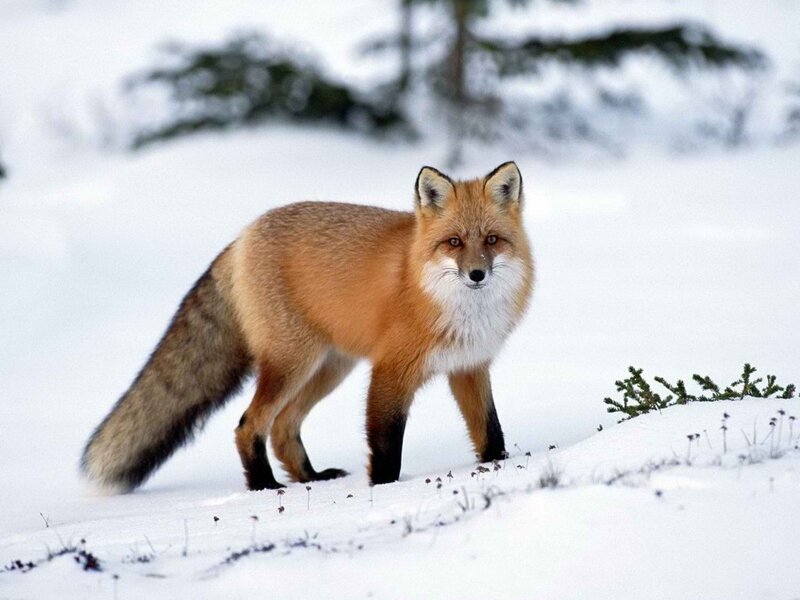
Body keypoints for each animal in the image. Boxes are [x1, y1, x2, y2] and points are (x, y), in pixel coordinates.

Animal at [81, 161, 533, 492]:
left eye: (492, 240)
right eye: (454, 242)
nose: (476, 274)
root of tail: (242, 235)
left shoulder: (468, 367)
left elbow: (491, 431)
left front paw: (499, 467)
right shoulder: (390, 371)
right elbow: (385, 444)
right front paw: (384, 490)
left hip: (329, 368)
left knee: (283, 427)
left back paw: (310, 478)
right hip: (292, 363)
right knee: (249, 425)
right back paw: (264, 486)